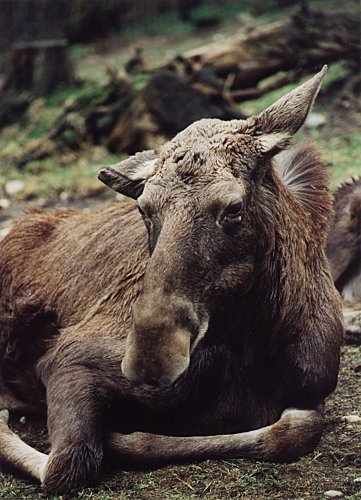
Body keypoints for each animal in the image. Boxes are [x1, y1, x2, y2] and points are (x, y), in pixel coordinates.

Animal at [0, 68, 344, 494]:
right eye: (143, 208)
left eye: (234, 208)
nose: (152, 356)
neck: (256, 348)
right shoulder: (68, 357)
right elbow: (68, 464)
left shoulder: (311, 392)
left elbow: (294, 428)